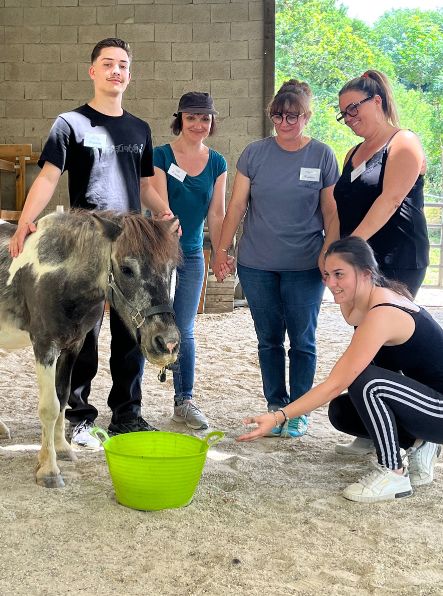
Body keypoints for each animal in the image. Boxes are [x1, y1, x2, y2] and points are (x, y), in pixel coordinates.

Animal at [0, 210, 180, 488]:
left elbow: (62, 398)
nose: (167, 343)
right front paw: (49, 471)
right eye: (127, 269)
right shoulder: (44, 346)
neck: (59, 276)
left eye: (171, 269)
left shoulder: (72, 347)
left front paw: (61, 450)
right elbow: (49, 407)